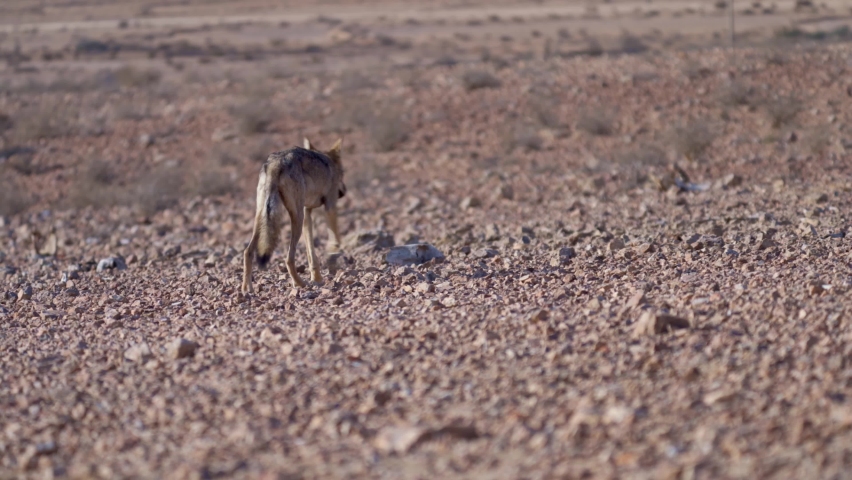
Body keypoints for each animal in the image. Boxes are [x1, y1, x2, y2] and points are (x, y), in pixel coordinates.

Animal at [241, 138, 346, 293]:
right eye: (343, 174)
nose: (344, 191)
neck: (329, 164)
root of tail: (275, 163)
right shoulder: (330, 206)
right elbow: (336, 238)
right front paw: (333, 255)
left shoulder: (307, 213)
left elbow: (311, 252)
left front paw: (317, 278)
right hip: (296, 218)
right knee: (288, 259)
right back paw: (300, 284)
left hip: (263, 217)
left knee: (248, 251)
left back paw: (246, 289)